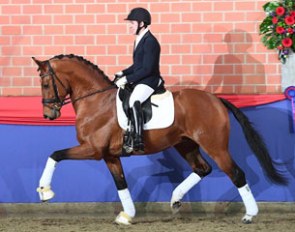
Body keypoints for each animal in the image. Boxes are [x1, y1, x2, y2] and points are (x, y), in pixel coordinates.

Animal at [31, 54, 286, 225]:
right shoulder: (109, 155)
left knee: (236, 174)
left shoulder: (92, 149)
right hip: (185, 144)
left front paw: (45, 191)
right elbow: (121, 183)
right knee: (202, 169)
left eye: (45, 84)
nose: (48, 115)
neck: (95, 102)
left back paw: (249, 215)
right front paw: (127, 215)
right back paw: (175, 200)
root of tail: (216, 99)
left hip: (215, 146)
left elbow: (55, 155)